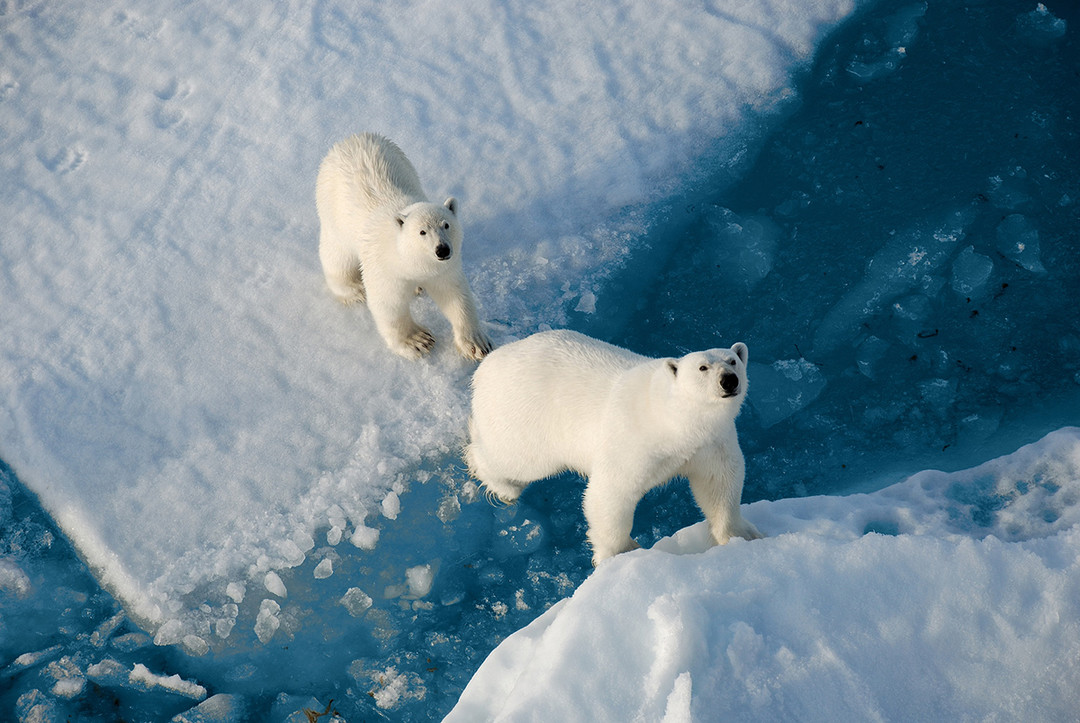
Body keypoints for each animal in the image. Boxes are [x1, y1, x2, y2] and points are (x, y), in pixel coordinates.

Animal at [315, 131, 494, 358]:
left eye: (446, 225)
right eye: (422, 232)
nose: (442, 249)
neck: (407, 259)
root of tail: (351, 138)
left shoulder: (442, 269)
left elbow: (454, 294)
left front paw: (476, 344)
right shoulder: (384, 266)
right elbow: (388, 302)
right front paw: (418, 341)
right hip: (333, 214)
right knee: (337, 257)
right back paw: (354, 289)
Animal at [468, 328, 764, 561]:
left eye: (733, 360)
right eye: (703, 367)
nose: (729, 380)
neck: (672, 419)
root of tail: (488, 366)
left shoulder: (711, 443)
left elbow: (719, 483)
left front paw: (742, 535)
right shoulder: (633, 440)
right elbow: (611, 493)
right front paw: (621, 552)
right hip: (526, 417)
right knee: (516, 460)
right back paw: (502, 486)